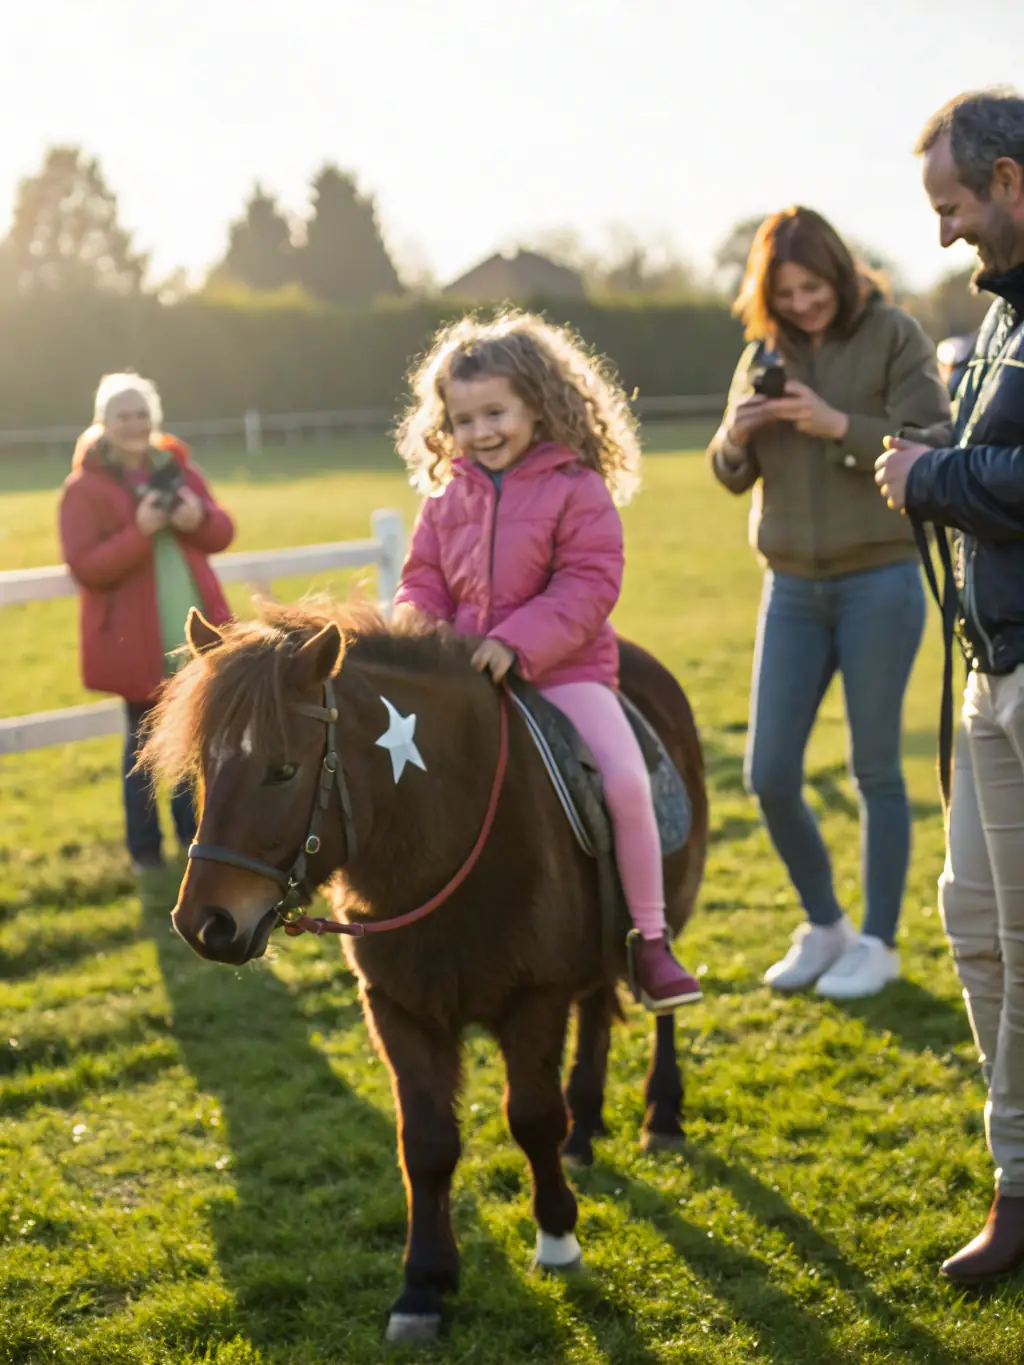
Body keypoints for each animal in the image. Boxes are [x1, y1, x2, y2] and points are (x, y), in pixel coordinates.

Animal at [141, 598, 708, 1343]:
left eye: (284, 770)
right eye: (206, 765)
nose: (205, 922)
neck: (449, 834)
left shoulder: (534, 998)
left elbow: (532, 1117)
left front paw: (557, 1239)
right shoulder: (397, 1007)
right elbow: (427, 1144)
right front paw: (423, 1284)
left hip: (667, 908)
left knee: (658, 999)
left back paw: (662, 1111)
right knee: (596, 1012)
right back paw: (586, 1128)